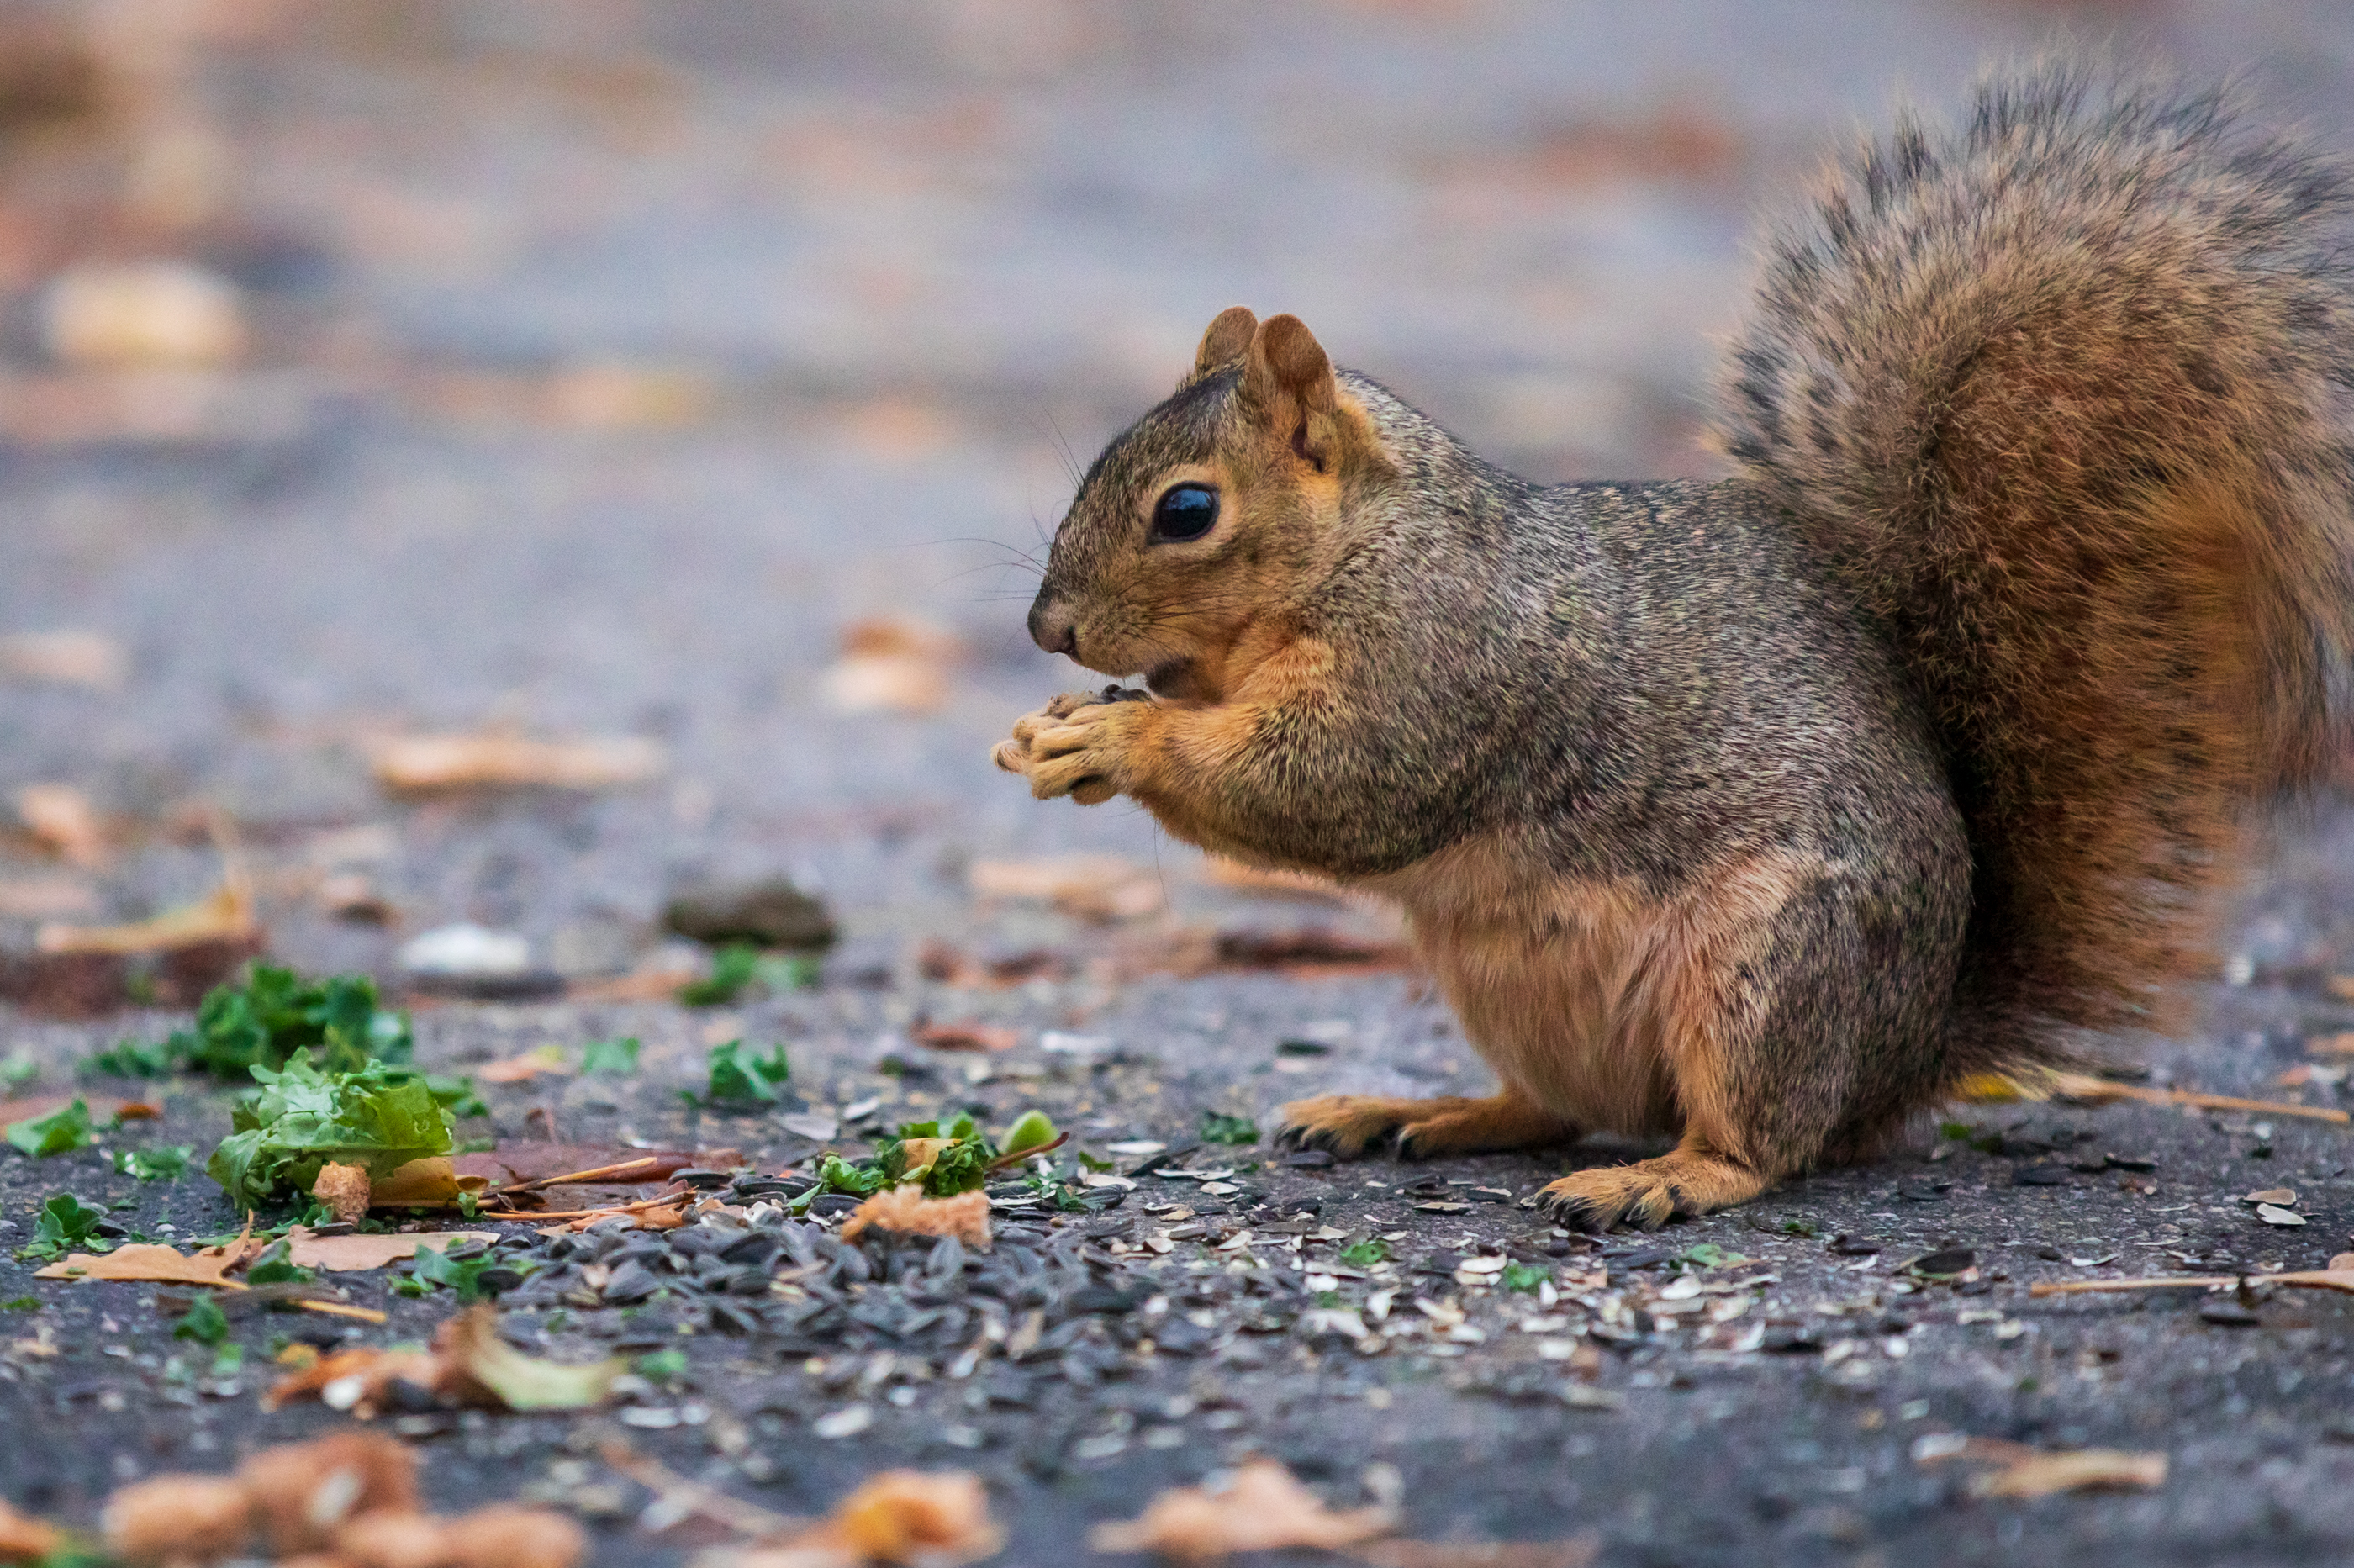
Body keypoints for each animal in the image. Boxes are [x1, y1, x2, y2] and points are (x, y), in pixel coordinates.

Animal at [991, 63, 2354, 1230]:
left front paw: (1120, 734)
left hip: (1767, 968)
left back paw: (1666, 1177)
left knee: (1758, 1140)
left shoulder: (1437, 667)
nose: (1048, 629)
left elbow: (1325, 785)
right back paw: (1416, 1109)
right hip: (1512, 987)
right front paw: (1055, 726)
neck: (1366, 548)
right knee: (1556, 1106)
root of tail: (1910, 1051)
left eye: (1186, 511)